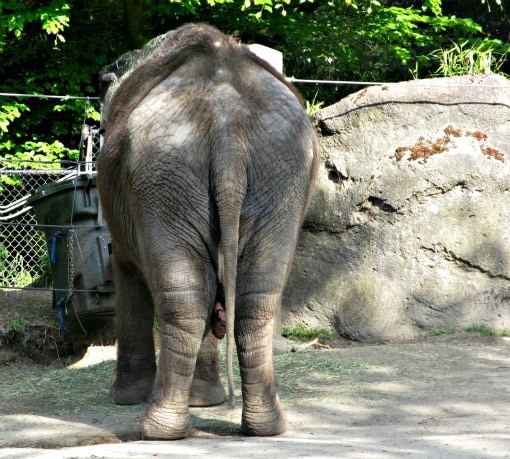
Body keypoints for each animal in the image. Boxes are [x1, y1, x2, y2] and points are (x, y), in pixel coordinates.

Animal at [96, 23, 318, 440]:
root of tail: (228, 129)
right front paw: (205, 401)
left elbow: (126, 270)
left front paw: (125, 399)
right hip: (278, 174)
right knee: (254, 298)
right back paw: (265, 426)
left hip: (167, 175)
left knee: (184, 298)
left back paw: (158, 429)